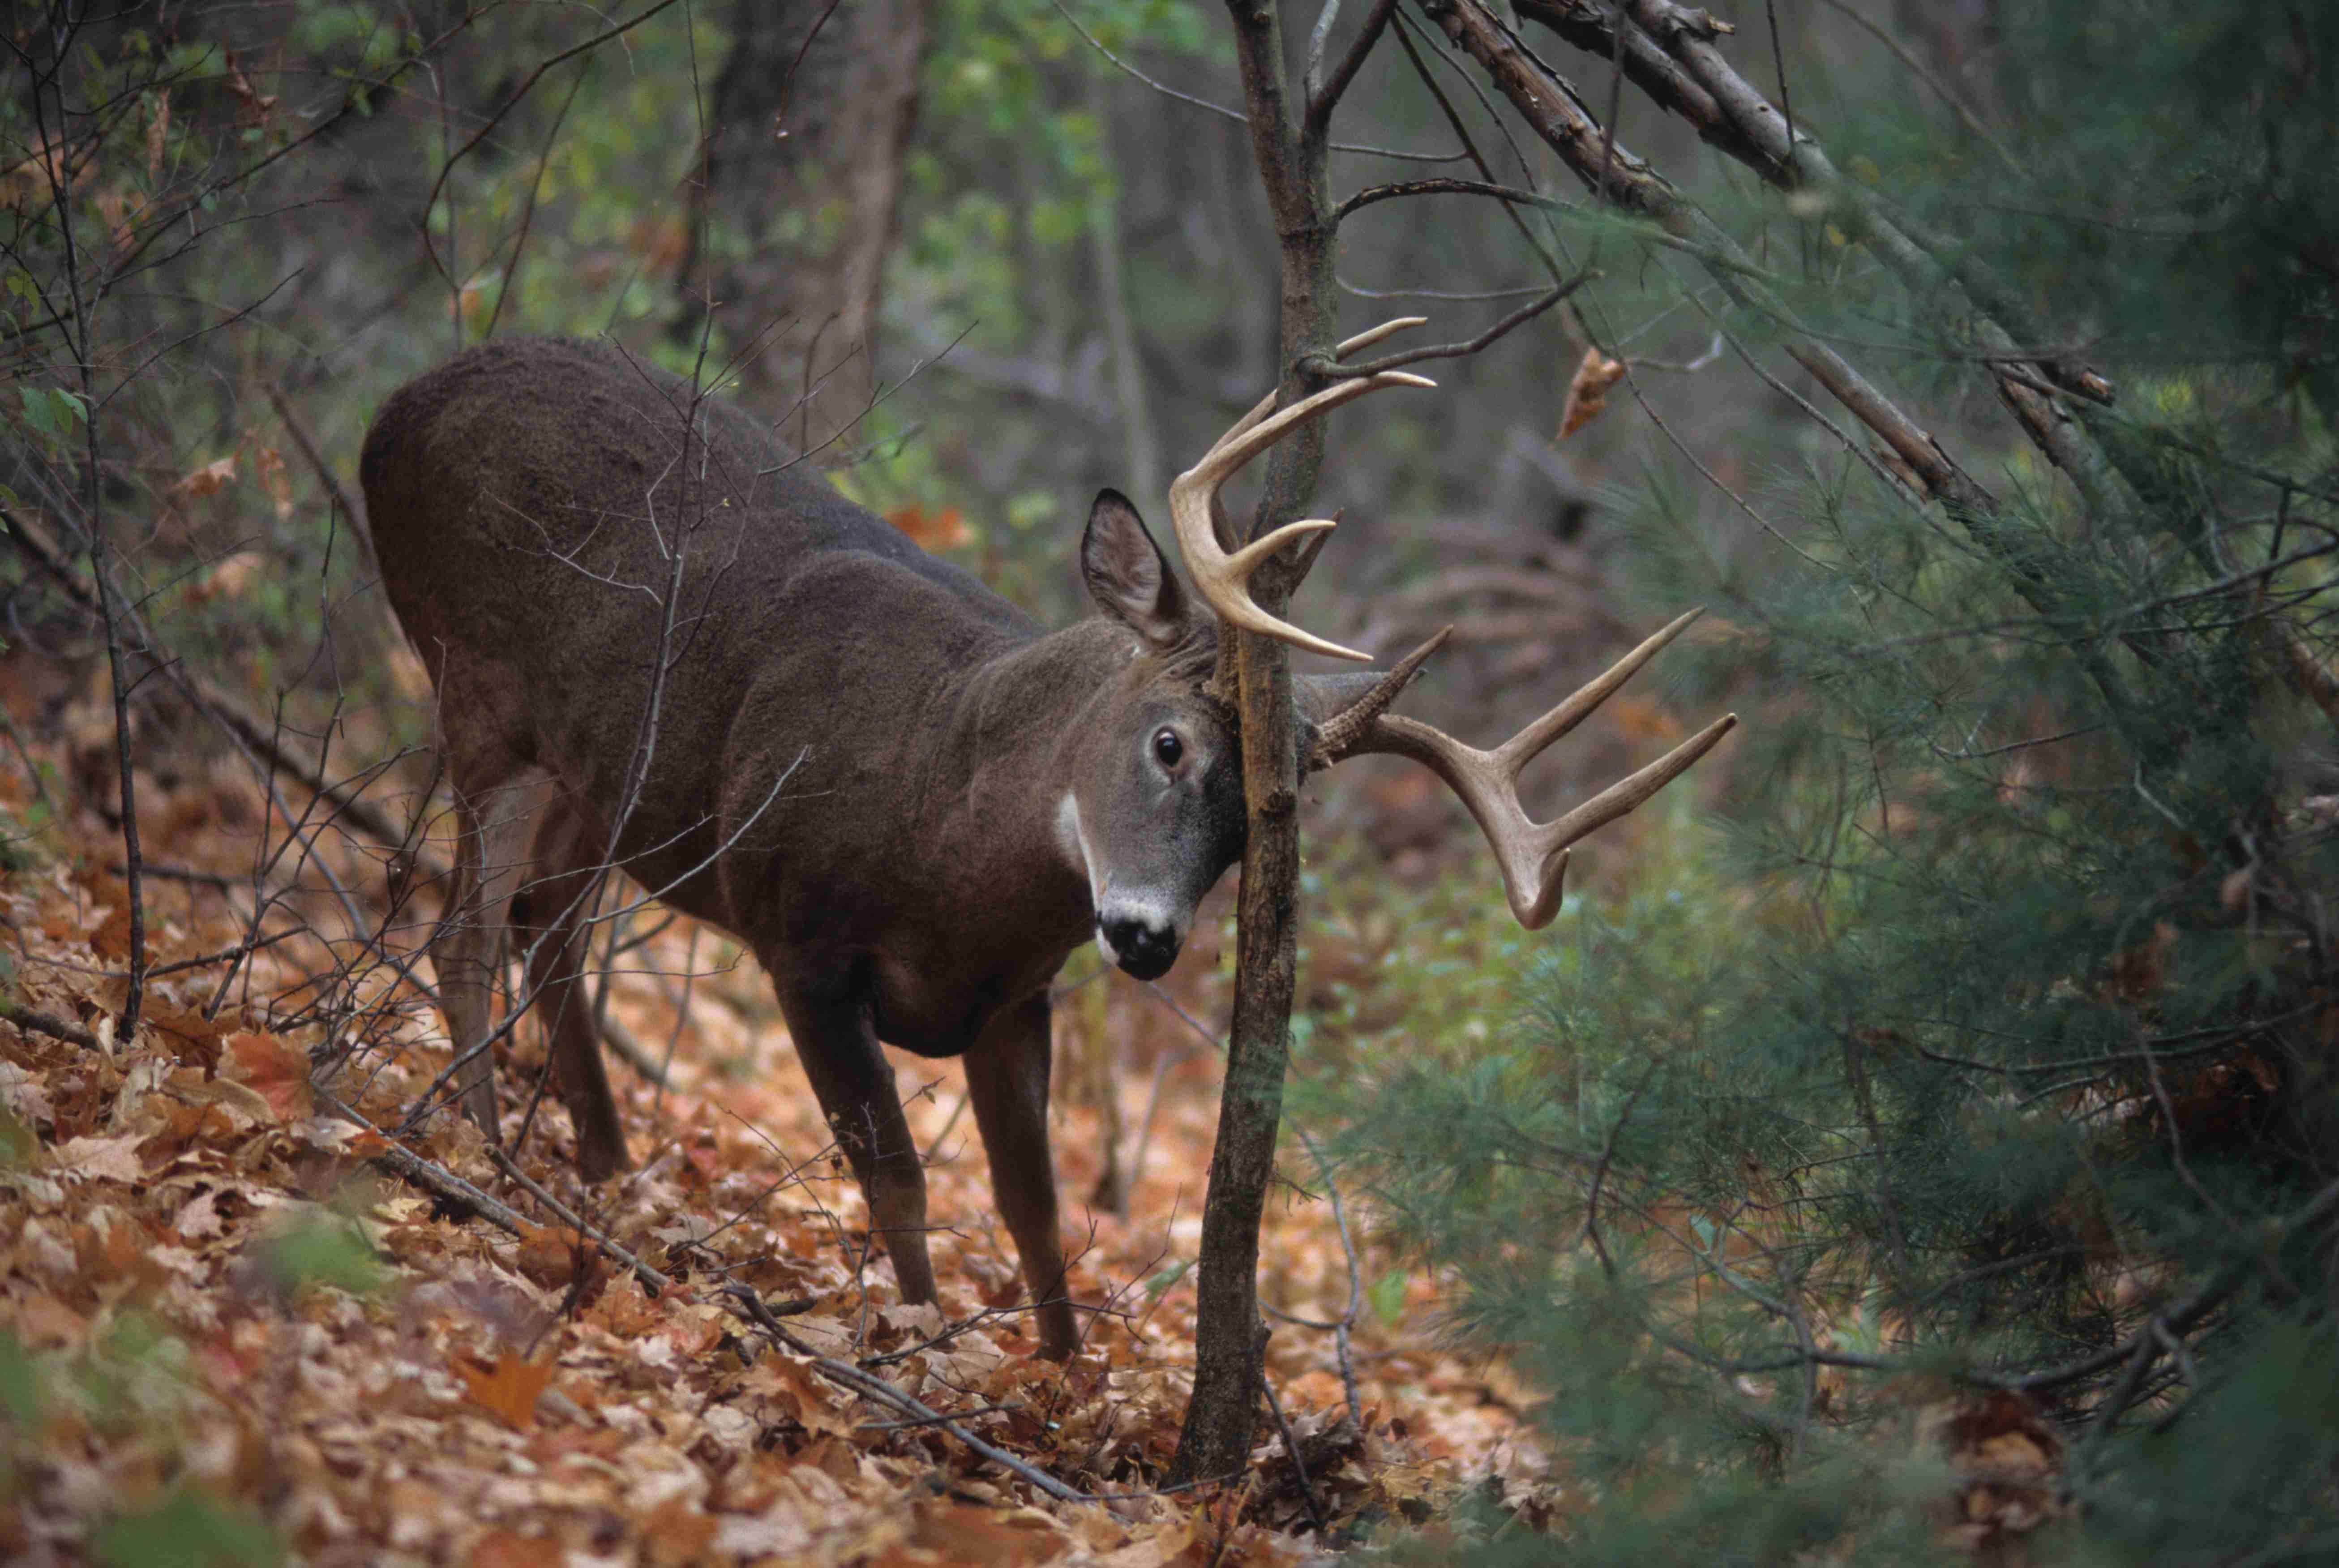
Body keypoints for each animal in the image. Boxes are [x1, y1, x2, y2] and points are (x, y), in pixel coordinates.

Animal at [358, 322, 1735, 1360]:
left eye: (1263, 820)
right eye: (1170, 742)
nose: (1145, 934)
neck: (941, 823)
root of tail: (396, 406)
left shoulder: (1016, 1001)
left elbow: (1034, 1206)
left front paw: (1067, 1384)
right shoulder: (802, 940)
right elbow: (898, 1173)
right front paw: (917, 1343)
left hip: (598, 776)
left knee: (544, 924)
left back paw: (600, 1164)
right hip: (482, 688)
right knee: (462, 928)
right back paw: (486, 1157)